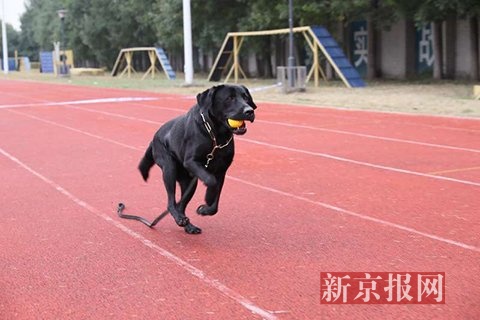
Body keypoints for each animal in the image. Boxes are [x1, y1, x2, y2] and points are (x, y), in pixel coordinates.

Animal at [139, 84, 256, 235]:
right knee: (171, 202)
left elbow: (216, 202)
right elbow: (211, 181)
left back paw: (187, 224)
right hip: (169, 167)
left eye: (246, 97)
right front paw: (208, 197)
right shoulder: (191, 161)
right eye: (229, 98)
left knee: (181, 205)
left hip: (188, 183)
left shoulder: (222, 170)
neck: (216, 137)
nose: (249, 111)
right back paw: (180, 218)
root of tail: (153, 139)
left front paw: (206, 208)